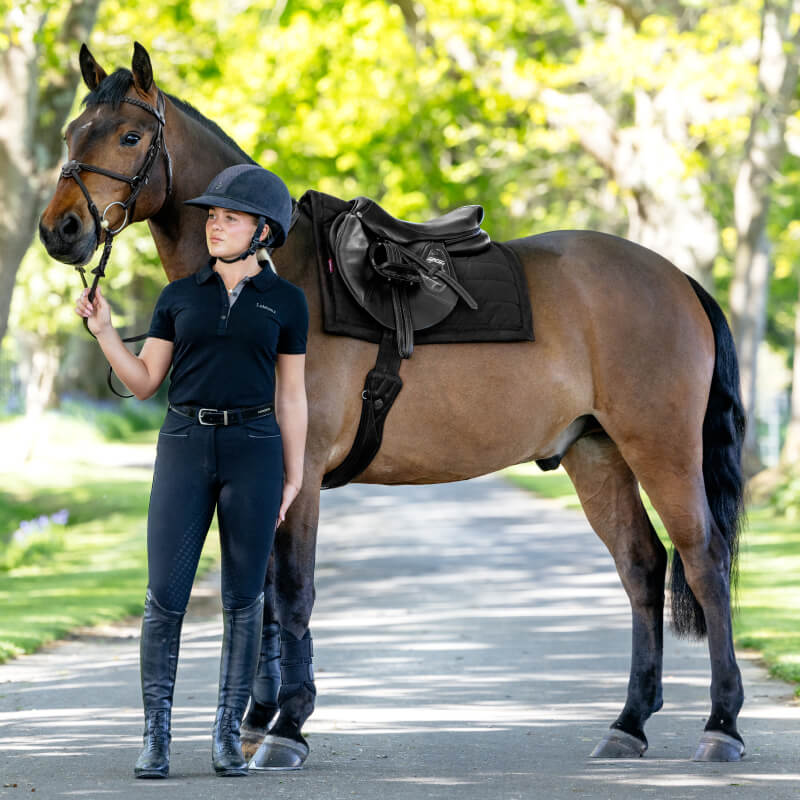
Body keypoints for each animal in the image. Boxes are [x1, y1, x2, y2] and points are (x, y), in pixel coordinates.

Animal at [39, 43, 747, 767]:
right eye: (70, 134)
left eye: (130, 136)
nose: (60, 230)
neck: (273, 278)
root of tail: (677, 278)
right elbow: (265, 594)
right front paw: (261, 716)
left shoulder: (302, 471)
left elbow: (291, 591)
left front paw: (288, 725)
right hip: (597, 454)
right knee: (643, 566)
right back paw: (629, 722)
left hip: (661, 449)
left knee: (704, 562)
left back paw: (721, 724)